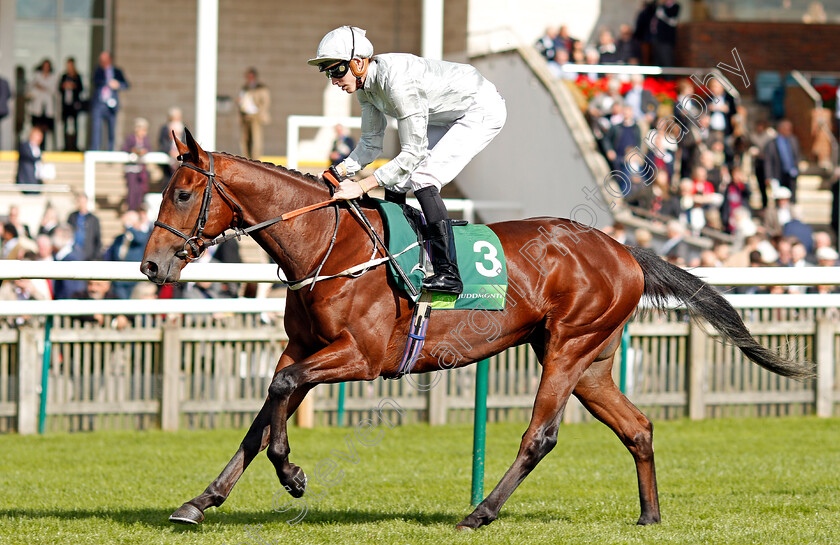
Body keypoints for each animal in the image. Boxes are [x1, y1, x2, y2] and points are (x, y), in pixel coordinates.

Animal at [141, 130, 812, 528]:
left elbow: (280, 396)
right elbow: (263, 414)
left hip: (569, 347)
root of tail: (624, 249)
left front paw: (293, 474)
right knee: (638, 427)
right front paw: (201, 500)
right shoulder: (304, 346)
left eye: (181, 194)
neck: (328, 244)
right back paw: (649, 517)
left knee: (541, 436)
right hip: (592, 361)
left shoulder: (361, 355)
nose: (151, 265)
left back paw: (480, 512)